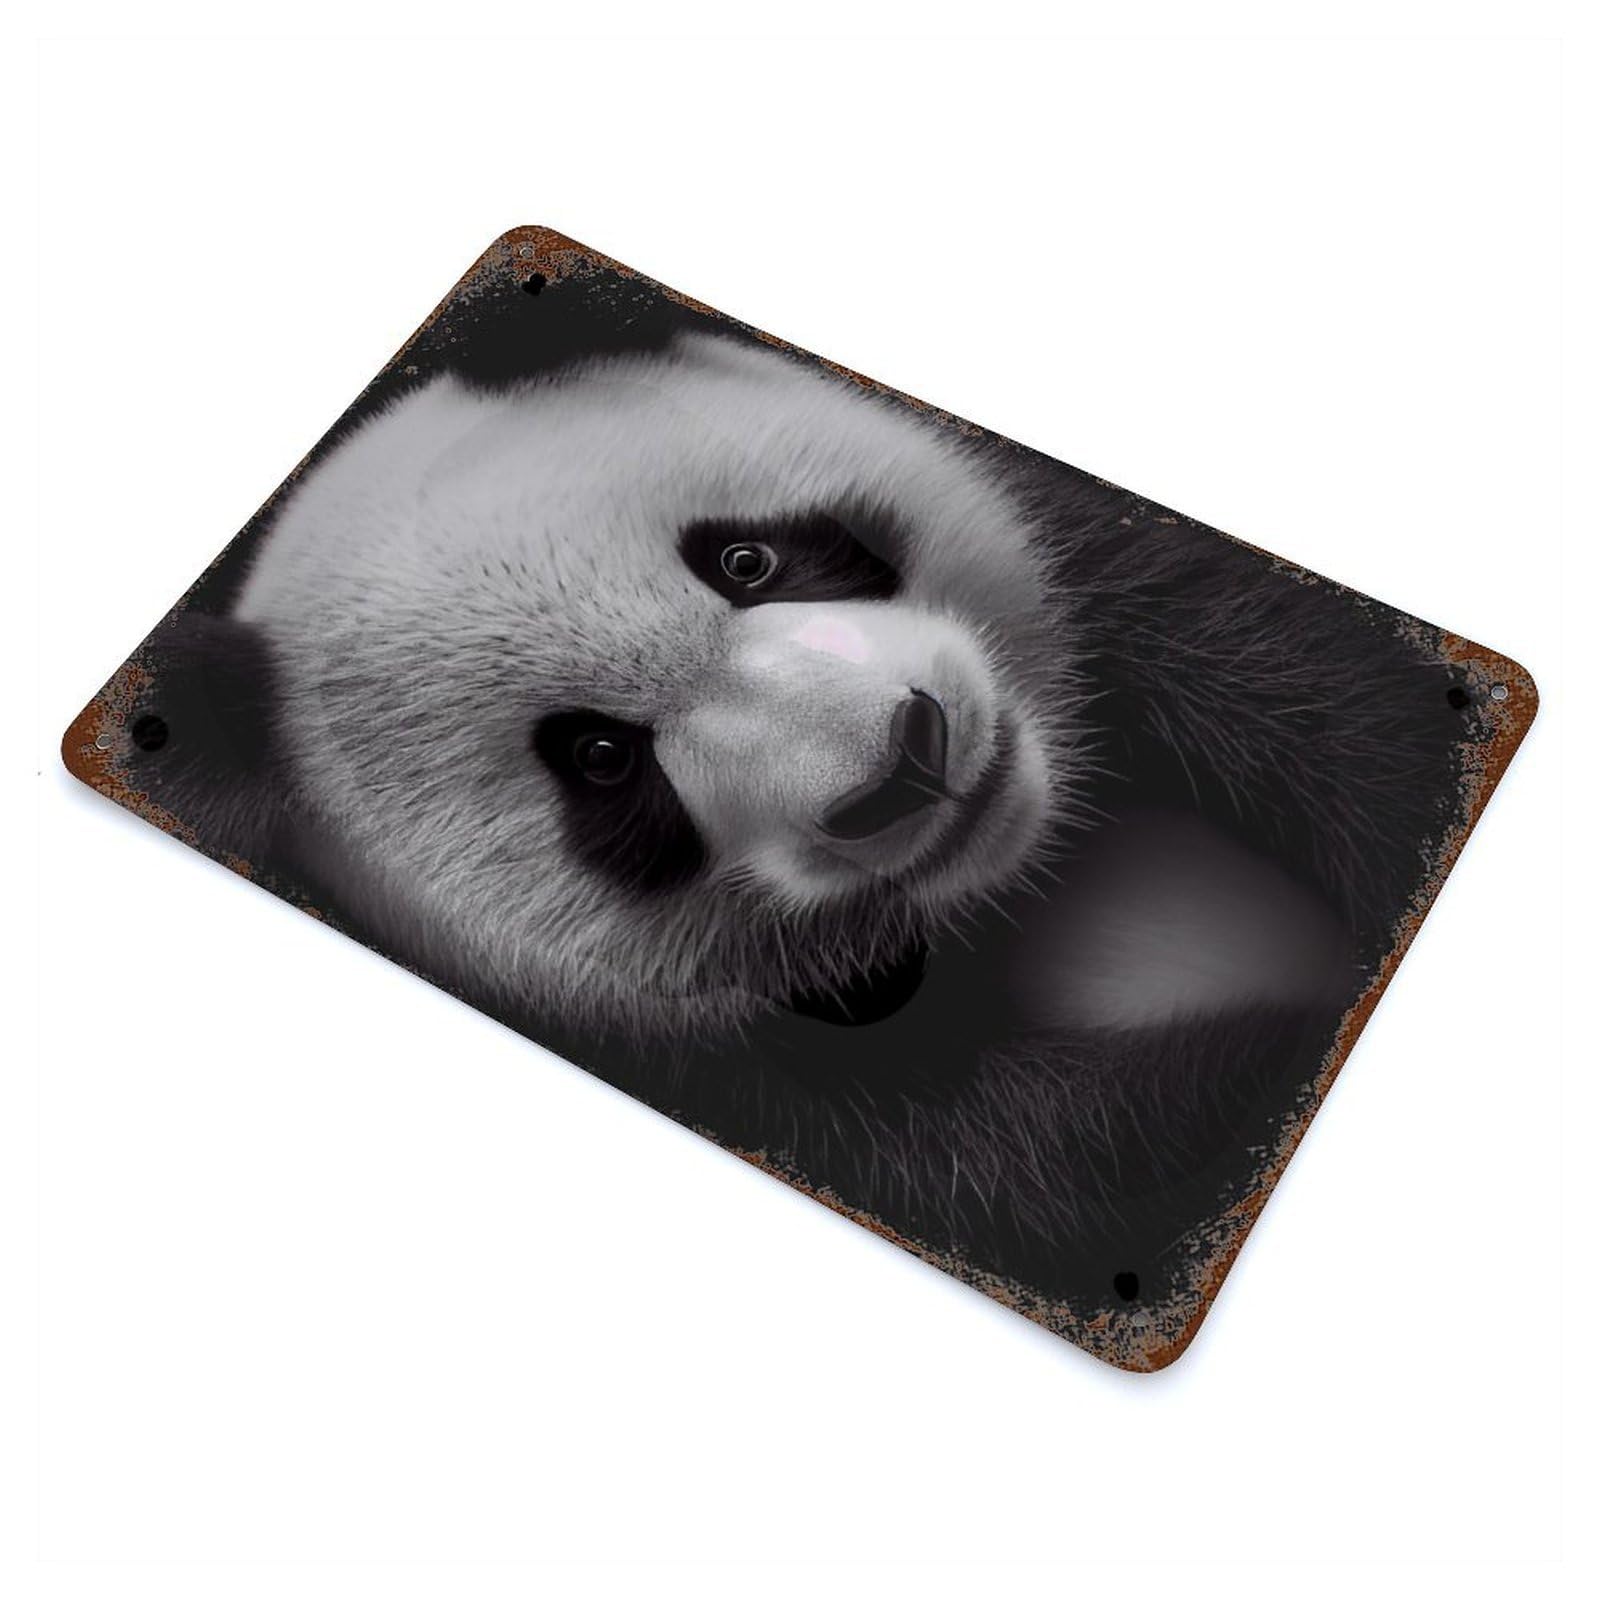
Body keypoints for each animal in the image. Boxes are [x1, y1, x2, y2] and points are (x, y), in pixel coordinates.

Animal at [104, 264, 1466, 1342]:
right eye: (602, 759)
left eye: (746, 557)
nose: (903, 762)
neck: (1033, 860)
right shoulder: (774, 1088)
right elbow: (1044, 1160)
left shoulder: (1108, 570)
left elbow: (1304, 677)